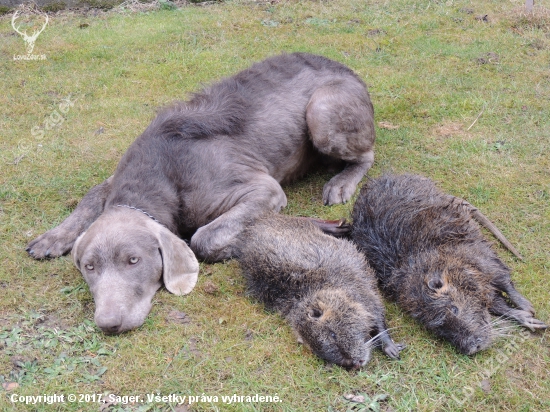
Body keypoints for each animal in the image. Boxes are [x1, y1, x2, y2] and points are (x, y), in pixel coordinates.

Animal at [28, 51, 378, 334]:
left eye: (133, 260)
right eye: (89, 267)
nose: (108, 324)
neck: (160, 173)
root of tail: (345, 67)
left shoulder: (264, 190)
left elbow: (203, 239)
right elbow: (90, 196)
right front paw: (52, 238)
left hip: (323, 112)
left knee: (366, 154)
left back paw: (342, 182)